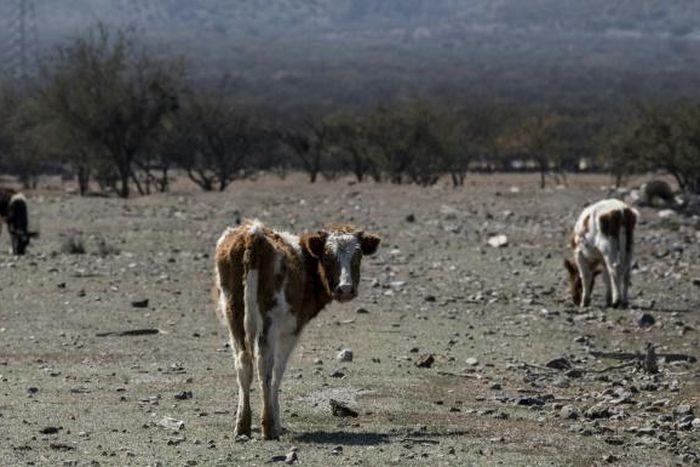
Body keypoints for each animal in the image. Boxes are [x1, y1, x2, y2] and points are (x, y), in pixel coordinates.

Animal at [214, 220, 380, 440]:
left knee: (243, 363)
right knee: (264, 365)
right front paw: (276, 421)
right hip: (269, 321)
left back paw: (242, 425)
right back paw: (269, 426)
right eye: (327, 256)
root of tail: (254, 234)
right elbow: (278, 371)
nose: (345, 289)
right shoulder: (292, 330)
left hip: (233, 314)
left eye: (358, 255)